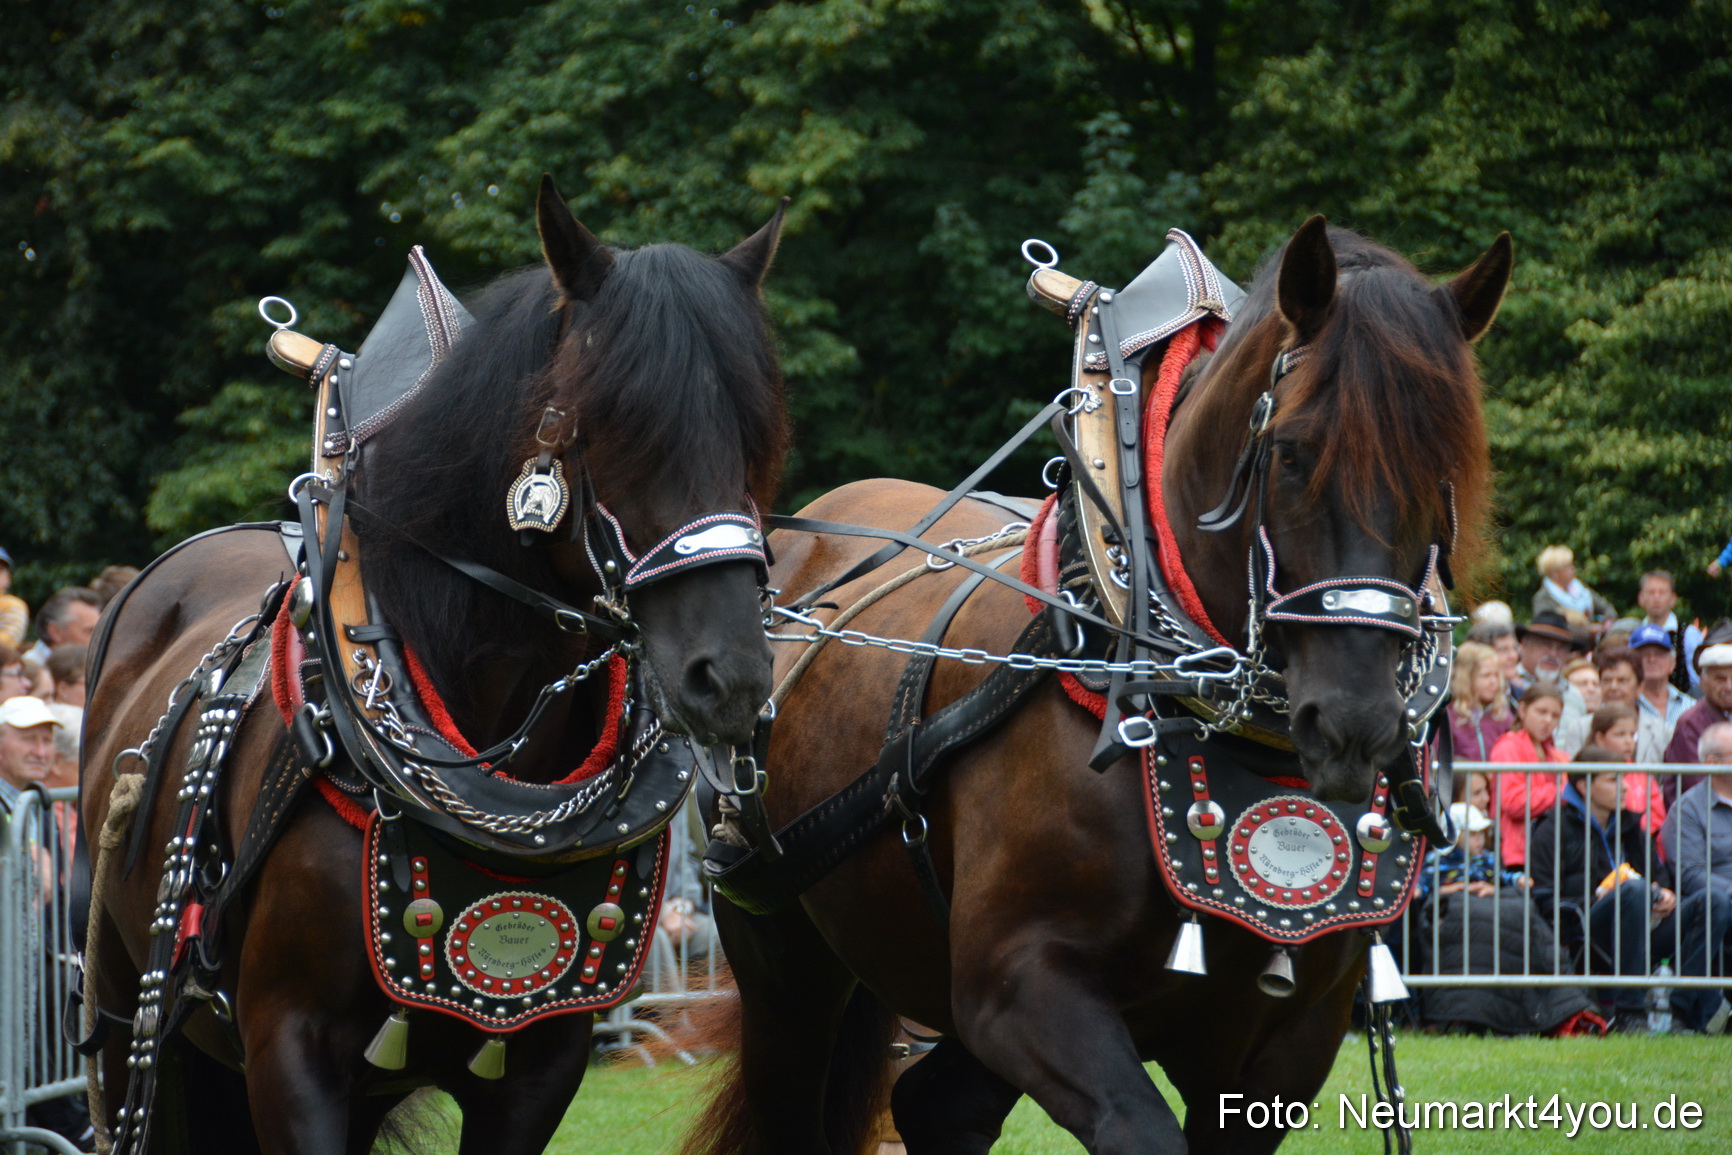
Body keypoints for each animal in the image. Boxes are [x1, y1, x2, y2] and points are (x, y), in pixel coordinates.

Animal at [79, 177, 790, 1154]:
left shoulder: (538, 1064)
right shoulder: (288, 1050)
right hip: (130, 1020)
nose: (733, 678)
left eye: (756, 440)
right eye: (612, 426)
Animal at [688, 217, 1512, 1154]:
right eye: (1293, 452)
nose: (1356, 722)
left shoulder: (1287, 1040)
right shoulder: (1019, 982)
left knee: (935, 1103)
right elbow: (1140, 1128)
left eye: (1446, 472)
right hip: (780, 950)